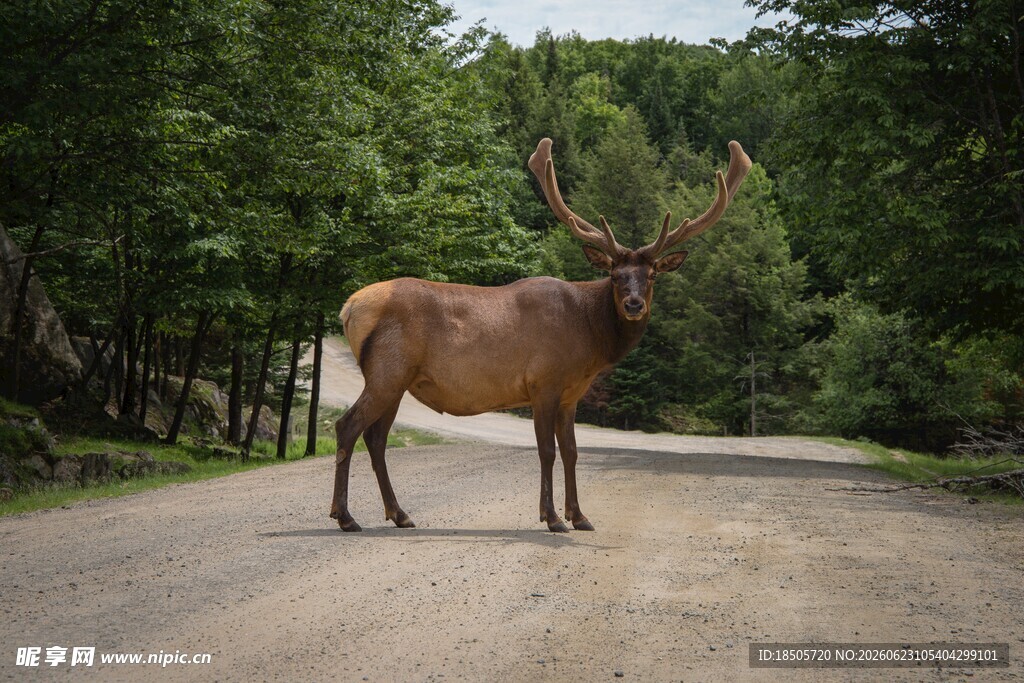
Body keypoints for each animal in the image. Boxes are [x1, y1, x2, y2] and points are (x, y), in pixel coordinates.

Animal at [330, 137, 751, 532]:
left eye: (651, 276)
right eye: (615, 274)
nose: (633, 304)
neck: (590, 340)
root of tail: (349, 307)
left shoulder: (571, 394)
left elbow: (572, 451)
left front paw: (580, 515)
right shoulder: (542, 382)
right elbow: (547, 451)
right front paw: (552, 518)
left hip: (397, 379)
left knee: (376, 438)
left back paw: (399, 514)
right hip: (387, 370)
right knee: (348, 426)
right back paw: (345, 516)